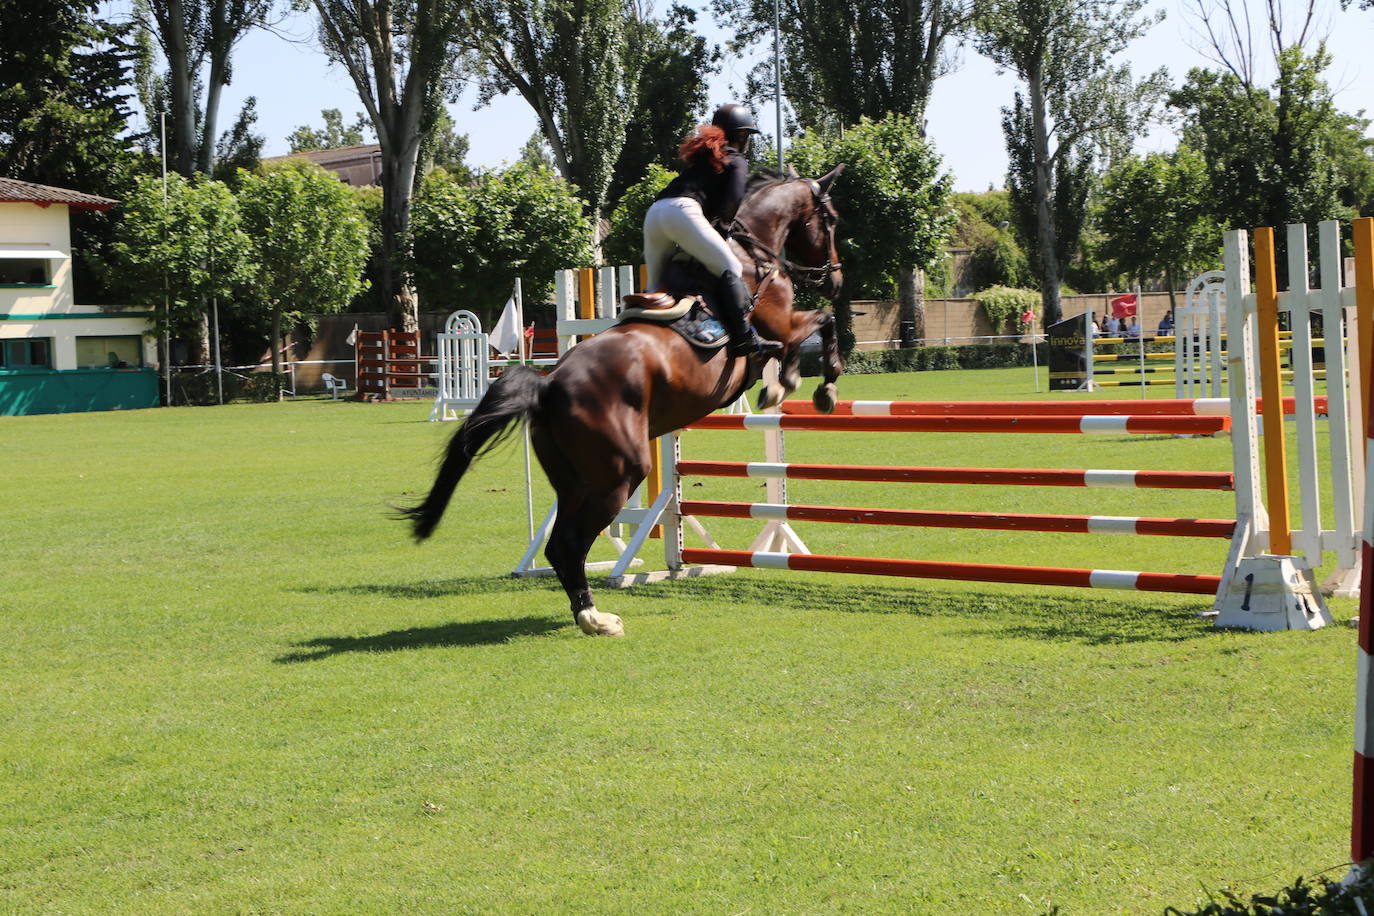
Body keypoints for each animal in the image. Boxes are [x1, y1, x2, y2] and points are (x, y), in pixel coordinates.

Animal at [401, 166, 846, 637]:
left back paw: (588, 612)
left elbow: (811, 330)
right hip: (620, 473)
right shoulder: (779, 326)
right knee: (570, 543)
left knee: (562, 545)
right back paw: (595, 618)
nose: (836, 280)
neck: (752, 254)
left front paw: (791, 383)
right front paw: (813, 386)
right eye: (831, 221)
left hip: (577, 480)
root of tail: (548, 384)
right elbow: (817, 325)